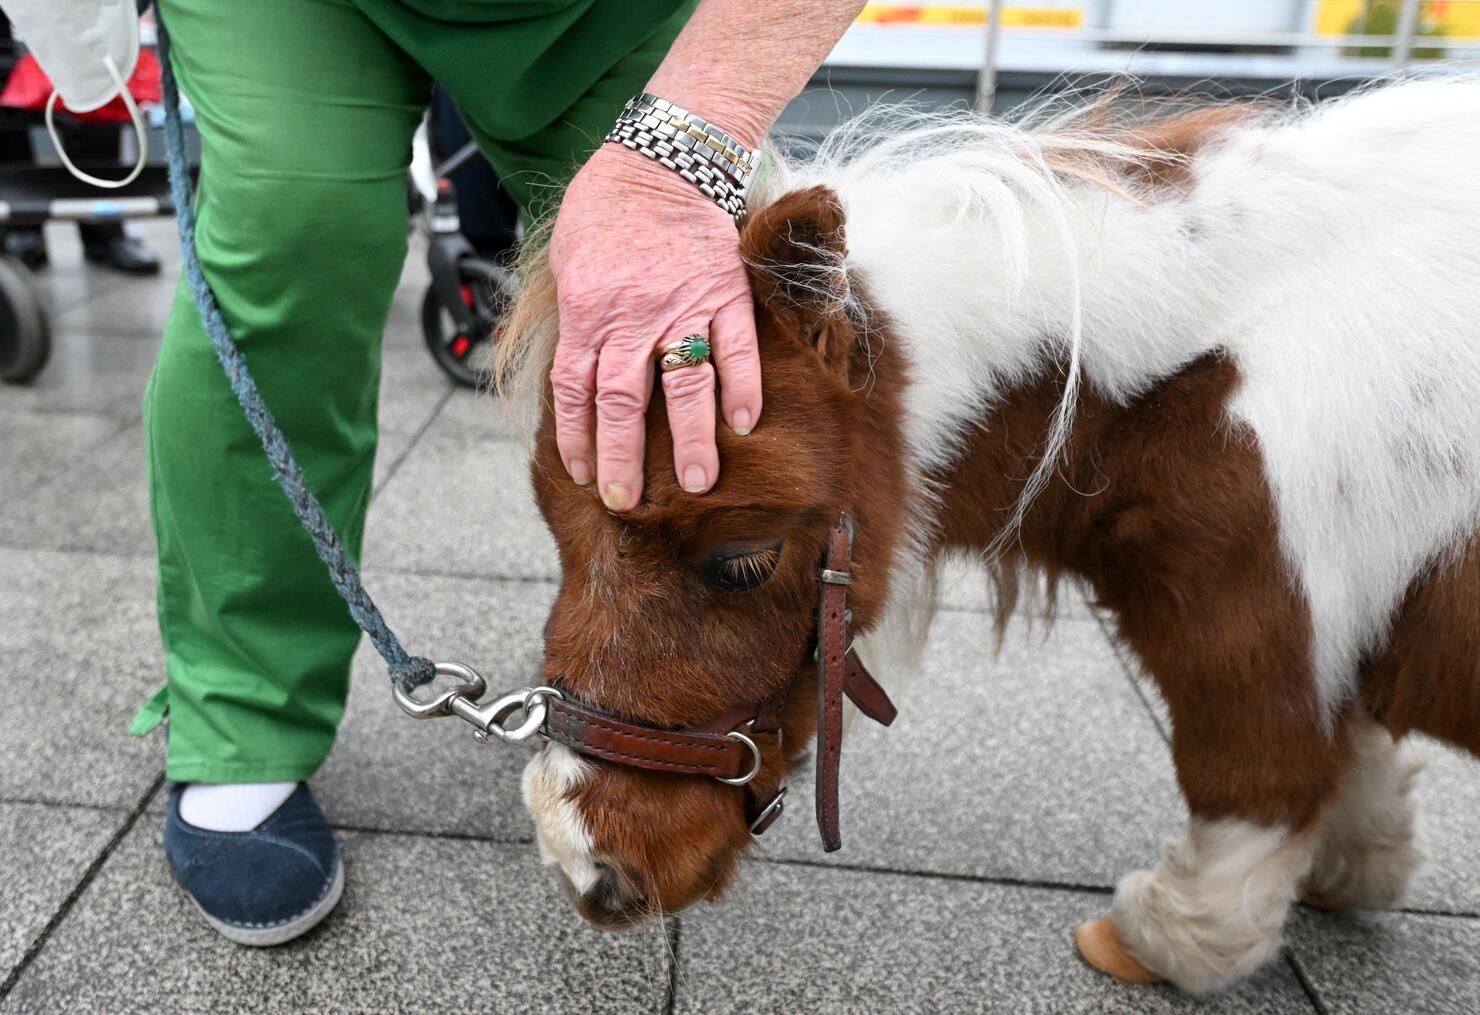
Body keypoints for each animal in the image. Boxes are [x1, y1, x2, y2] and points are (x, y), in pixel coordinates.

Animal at [497, 77, 1480, 994]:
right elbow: (1354, 751)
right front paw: (1360, 864)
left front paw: (1168, 939)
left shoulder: (1252, 634)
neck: (1216, 375)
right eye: (553, 529)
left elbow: (1259, 778)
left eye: (743, 559)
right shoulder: (1334, 646)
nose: (587, 868)